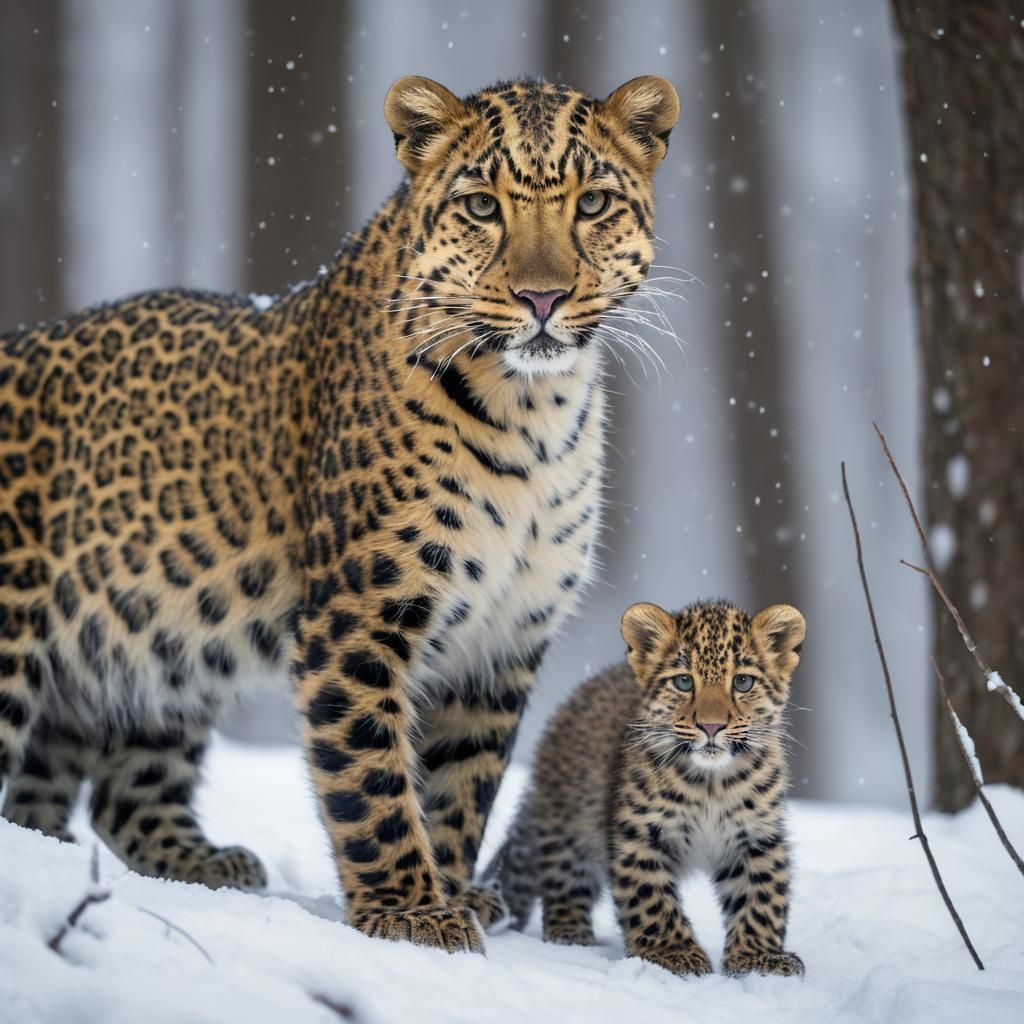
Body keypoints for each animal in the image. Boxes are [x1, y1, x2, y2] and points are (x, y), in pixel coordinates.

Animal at [0, 75, 680, 954]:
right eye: (482, 206)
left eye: (593, 202)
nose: (543, 296)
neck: (536, 413)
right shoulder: (360, 617)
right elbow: (371, 777)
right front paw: (410, 911)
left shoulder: (501, 641)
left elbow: (461, 787)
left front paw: (453, 891)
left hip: (155, 650)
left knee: (118, 794)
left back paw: (207, 863)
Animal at [487, 599, 807, 977]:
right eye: (684, 682)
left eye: (743, 682)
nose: (711, 726)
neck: (711, 784)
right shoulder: (639, 834)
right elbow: (651, 900)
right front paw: (673, 952)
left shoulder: (757, 836)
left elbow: (761, 896)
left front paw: (759, 957)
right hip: (569, 824)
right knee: (564, 883)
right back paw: (573, 938)